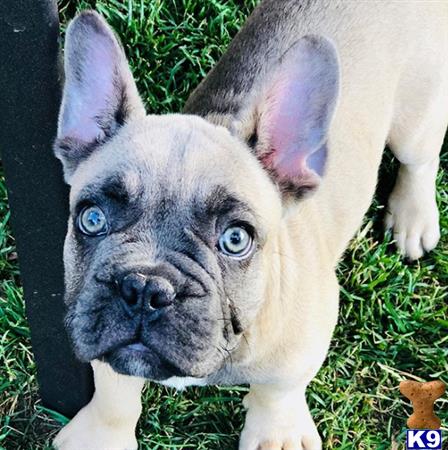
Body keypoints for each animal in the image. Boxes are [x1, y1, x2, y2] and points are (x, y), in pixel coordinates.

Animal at [53, 1, 448, 448]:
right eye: (91, 218)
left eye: (236, 239)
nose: (145, 288)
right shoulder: (97, 330)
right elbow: (114, 391)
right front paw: (101, 435)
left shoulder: (304, 345)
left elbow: (279, 389)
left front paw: (277, 433)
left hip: (418, 114)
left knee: (421, 158)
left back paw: (414, 217)